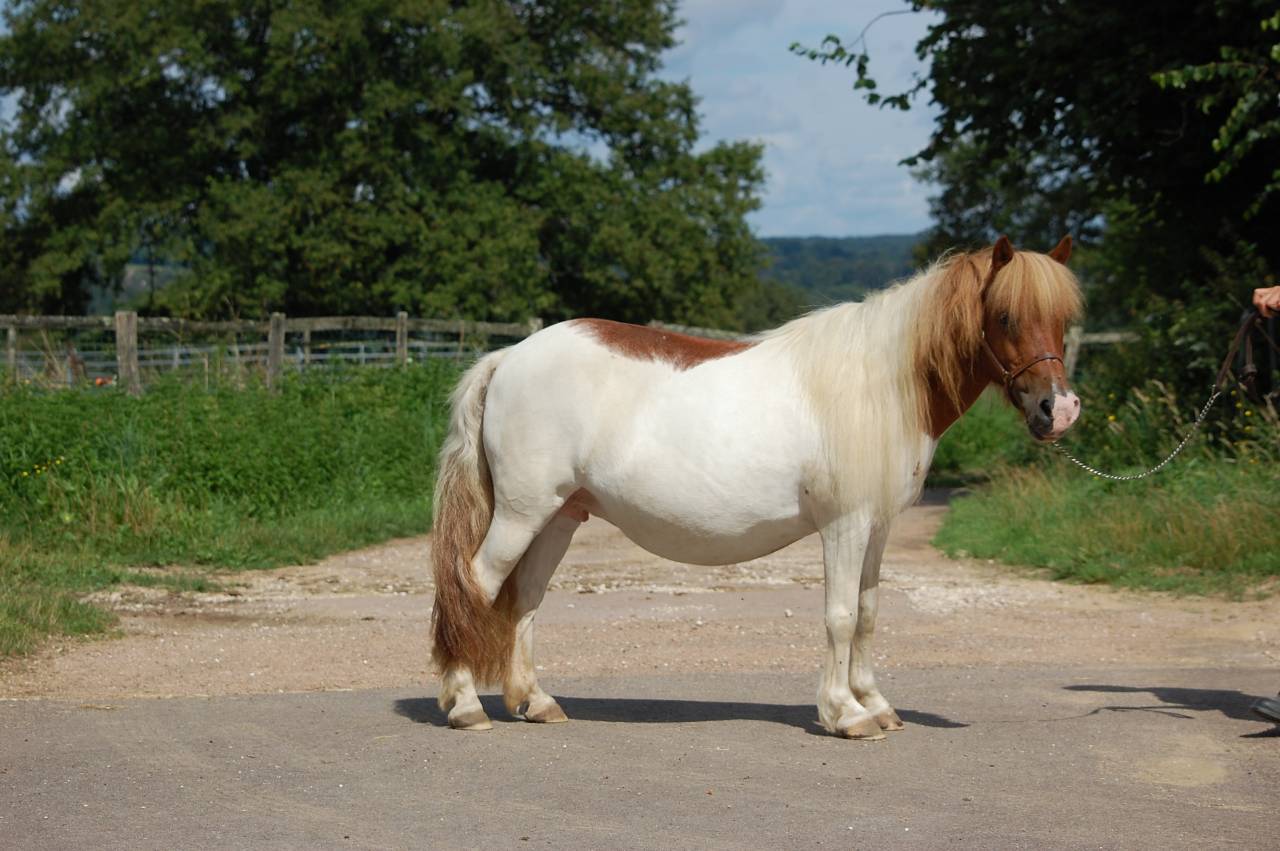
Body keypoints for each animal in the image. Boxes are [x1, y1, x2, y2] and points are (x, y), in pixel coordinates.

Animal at [429, 235, 1083, 739]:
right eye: (1005, 316)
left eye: (1064, 320)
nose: (1060, 410)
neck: (882, 382)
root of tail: (508, 358)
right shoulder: (845, 524)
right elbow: (841, 615)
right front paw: (846, 714)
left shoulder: (877, 527)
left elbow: (869, 613)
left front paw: (875, 703)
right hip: (521, 513)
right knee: (473, 586)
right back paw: (465, 706)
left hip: (560, 517)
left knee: (525, 600)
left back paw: (535, 702)